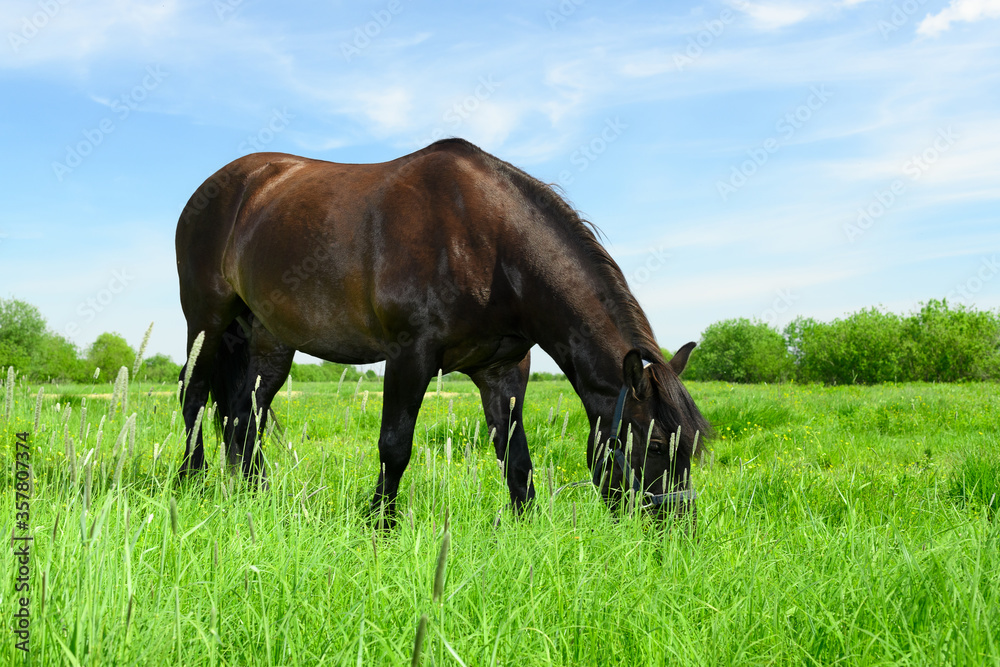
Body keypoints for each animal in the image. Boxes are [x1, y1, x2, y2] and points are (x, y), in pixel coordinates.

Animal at [175, 138, 711, 525]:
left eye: (691, 446)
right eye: (656, 446)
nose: (679, 530)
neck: (488, 242)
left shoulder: (502, 371)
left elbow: (514, 455)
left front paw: (527, 529)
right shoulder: (409, 355)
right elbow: (395, 446)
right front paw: (379, 526)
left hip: (269, 339)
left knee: (244, 413)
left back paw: (256, 494)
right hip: (206, 319)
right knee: (194, 393)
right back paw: (191, 482)